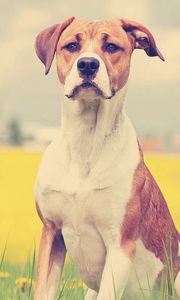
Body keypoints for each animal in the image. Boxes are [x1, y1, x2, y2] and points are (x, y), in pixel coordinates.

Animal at [34, 17, 180, 300]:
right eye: (72, 45)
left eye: (111, 46)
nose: (88, 64)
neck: (86, 140)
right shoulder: (51, 232)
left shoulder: (120, 246)